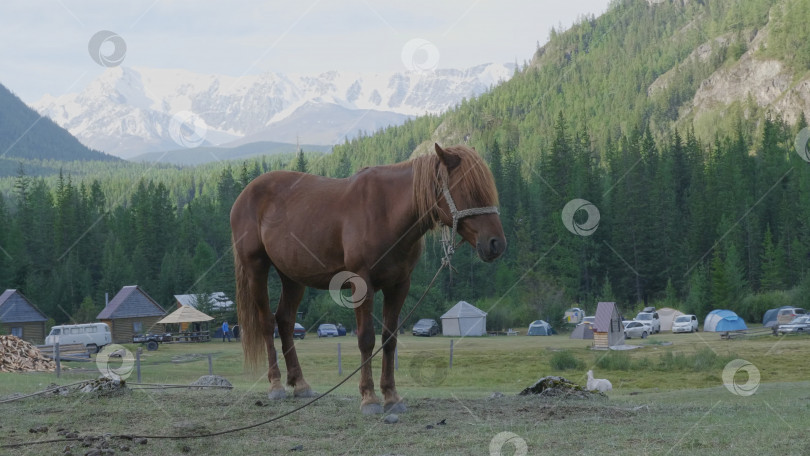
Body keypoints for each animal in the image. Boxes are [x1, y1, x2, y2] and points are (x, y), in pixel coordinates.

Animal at [229, 142, 504, 414]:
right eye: (468, 190)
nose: (496, 244)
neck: (386, 211)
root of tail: (244, 195)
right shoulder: (361, 283)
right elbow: (366, 339)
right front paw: (369, 397)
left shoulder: (399, 285)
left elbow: (389, 339)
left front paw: (391, 396)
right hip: (256, 268)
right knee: (267, 322)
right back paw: (275, 384)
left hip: (293, 277)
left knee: (285, 321)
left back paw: (300, 384)